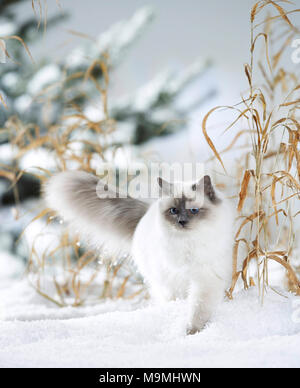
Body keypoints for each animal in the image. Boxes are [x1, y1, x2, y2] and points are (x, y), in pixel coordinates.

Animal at [45, 170, 234, 334]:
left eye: (193, 210)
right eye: (173, 211)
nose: (181, 222)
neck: (188, 243)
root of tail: (147, 210)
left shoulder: (205, 280)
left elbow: (198, 310)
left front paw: (194, 331)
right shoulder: (173, 281)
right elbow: (182, 304)